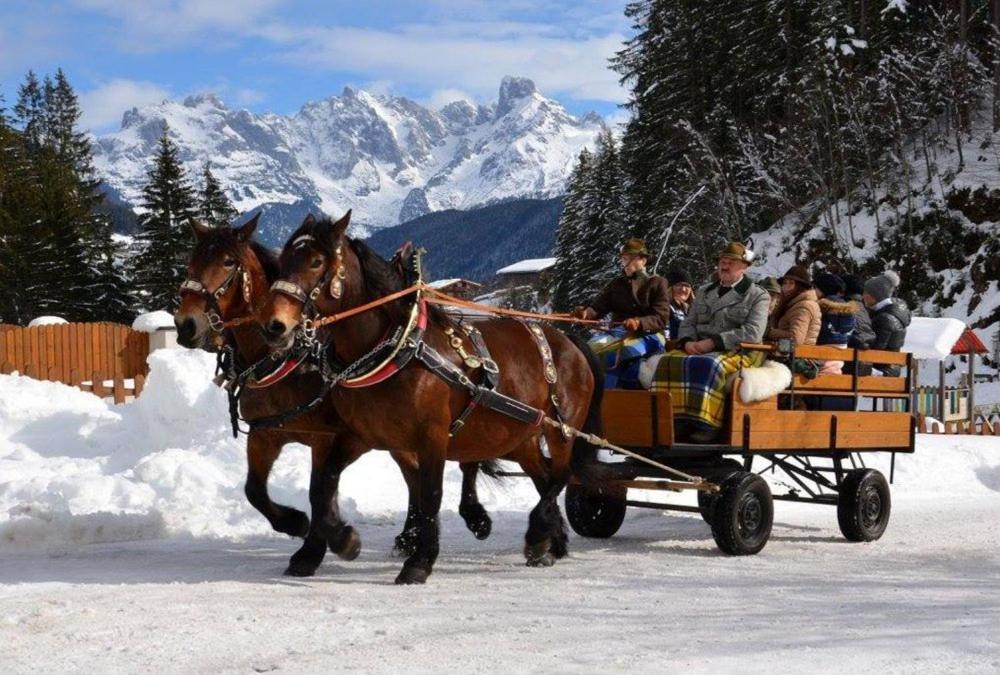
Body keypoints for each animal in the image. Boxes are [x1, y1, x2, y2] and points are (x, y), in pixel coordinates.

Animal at [178, 217, 498, 576]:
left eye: (228, 262)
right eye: (191, 262)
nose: (185, 324)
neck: (289, 356)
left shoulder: (332, 437)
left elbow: (319, 492)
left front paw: (325, 545)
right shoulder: (265, 435)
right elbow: (255, 490)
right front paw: (295, 523)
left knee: (460, 461)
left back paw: (472, 518)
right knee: (415, 477)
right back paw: (410, 537)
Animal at [260, 213, 600, 588]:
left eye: (316, 262)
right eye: (282, 261)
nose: (275, 325)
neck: (398, 348)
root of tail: (567, 338)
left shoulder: (432, 436)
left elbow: (429, 496)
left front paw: (420, 561)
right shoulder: (360, 436)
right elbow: (322, 487)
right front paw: (338, 542)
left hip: (562, 430)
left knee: (562, 475)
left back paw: (538, 534)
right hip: (521, 434)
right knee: (543, 478)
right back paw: (549, 542)